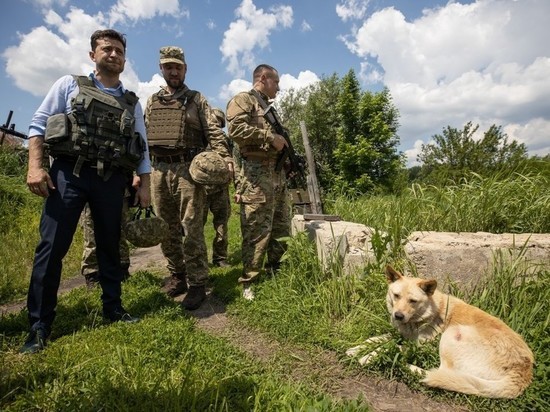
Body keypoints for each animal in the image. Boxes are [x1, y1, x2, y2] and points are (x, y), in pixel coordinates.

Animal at [350, 266, 536, 398]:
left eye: (413, 301)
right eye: (396, 296)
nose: (398, 316)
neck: (426, 314)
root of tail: (524, 370)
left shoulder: (418, 346)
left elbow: (389, 347)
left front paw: (368, 356)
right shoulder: (401, 335)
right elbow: (376, 339)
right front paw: (354, 349)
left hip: (452, 333)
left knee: (440, 371)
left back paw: (405, 366)